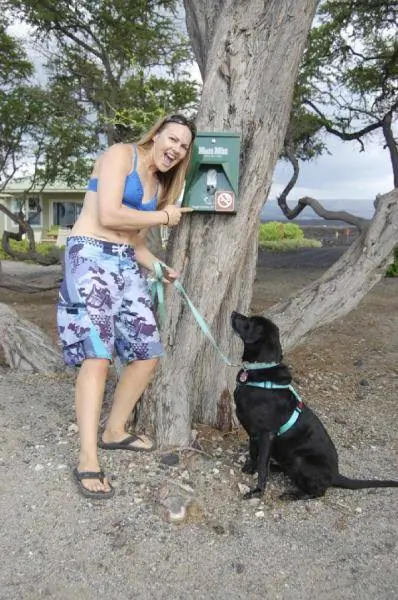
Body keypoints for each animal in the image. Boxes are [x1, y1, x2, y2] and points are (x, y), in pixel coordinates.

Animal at [230, 312, 398, 500]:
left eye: (250, 321)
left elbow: (262, 467)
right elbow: (254, 453)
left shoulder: (267, 433)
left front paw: (258, 491)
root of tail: (335, 474)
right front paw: (250, 467)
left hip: (300, 460)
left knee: (318, 492)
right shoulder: (253, 431)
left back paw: (293, 494)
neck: (259, 369)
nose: (234, 313)